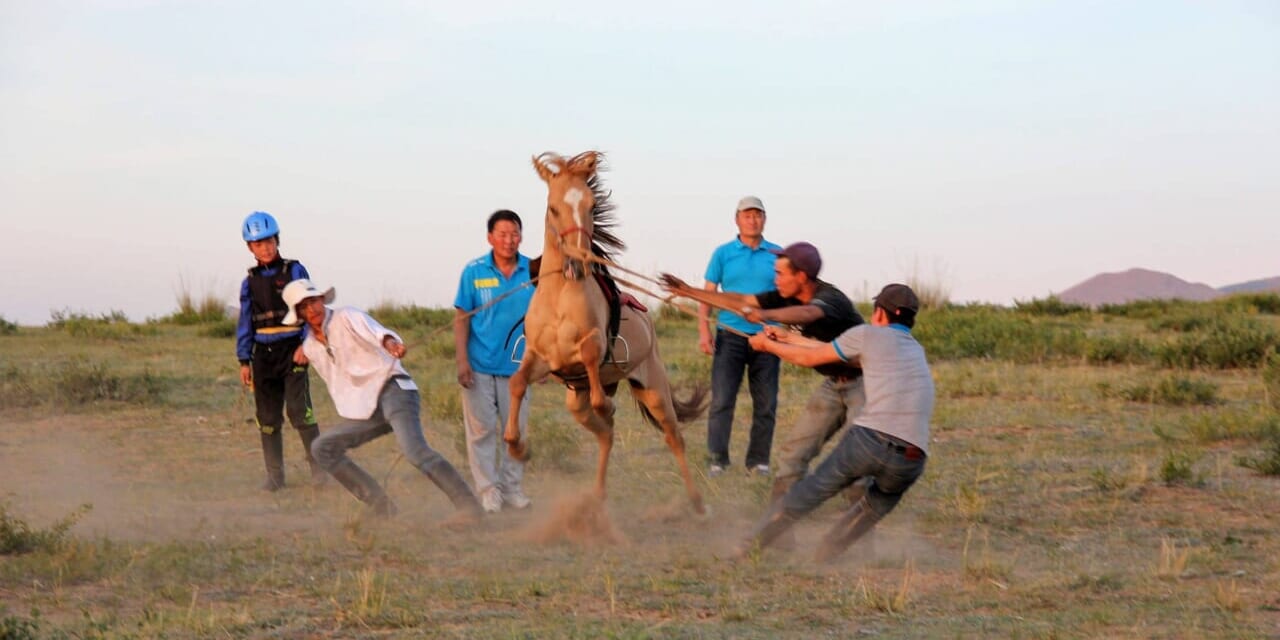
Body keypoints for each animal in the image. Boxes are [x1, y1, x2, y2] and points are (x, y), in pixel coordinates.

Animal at [501, 149, 711, 514]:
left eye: (591, 205)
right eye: (554, 207)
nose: (578, 261)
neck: (560, 295)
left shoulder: (593, 350)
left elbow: (590, 357)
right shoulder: (541, 359)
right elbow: (516, 383)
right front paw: (518, 448)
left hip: (653, 389)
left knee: (672, 437)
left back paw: (697, 502)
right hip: (577, 402)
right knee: (605, 434)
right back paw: (597, 497)